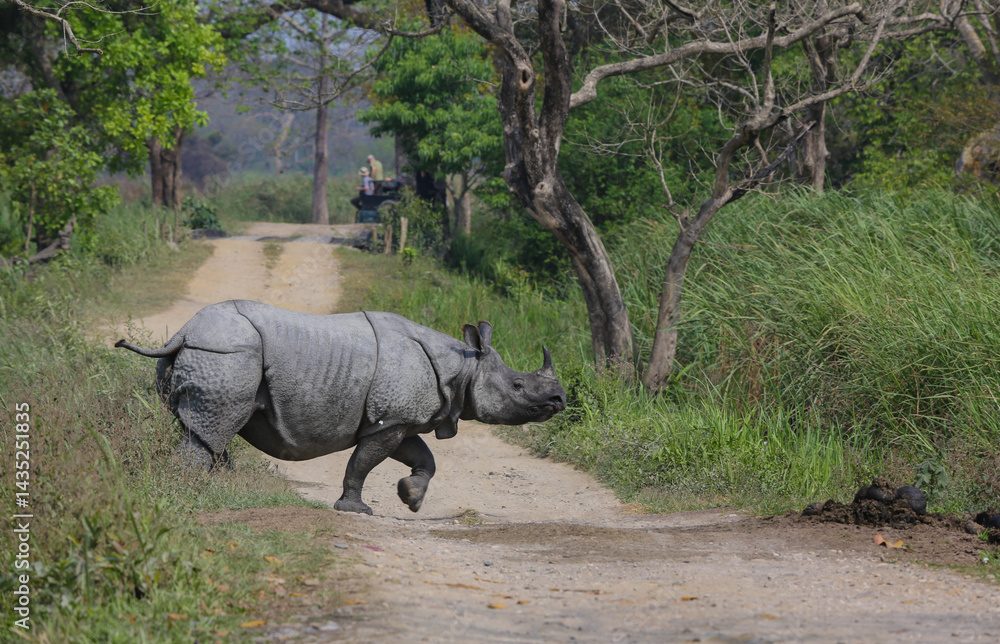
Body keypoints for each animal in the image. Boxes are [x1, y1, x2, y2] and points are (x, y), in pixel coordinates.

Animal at [116, 300, 566, 515]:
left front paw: (411, 499)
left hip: (203, 355)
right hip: (228, 355)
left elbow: (424, 458)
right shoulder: (389, 419)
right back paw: (190, 492)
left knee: (204, 430)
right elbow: (362, 463)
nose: (559, 400)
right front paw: (356, 510)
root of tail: (183, 332)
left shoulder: (398, 419)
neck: (464, 365)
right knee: (210, 431)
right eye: (518, 386)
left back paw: (220, 486)